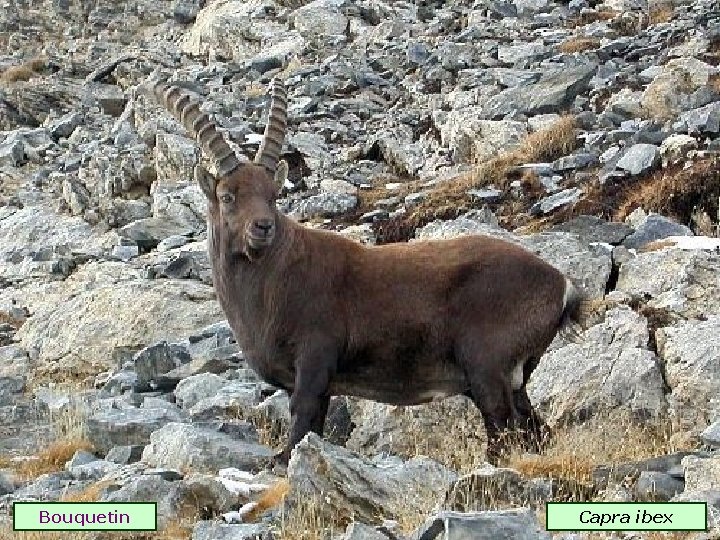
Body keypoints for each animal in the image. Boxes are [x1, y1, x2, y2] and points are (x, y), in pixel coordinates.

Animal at [153, 77, 587, 465]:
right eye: (227, 196)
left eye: (273, 195)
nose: (263, 227)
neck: (273, 278)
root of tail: (561, 284)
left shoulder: (315, 357)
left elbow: (301, 421)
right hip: (516, 376)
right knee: (534, 427)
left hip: (486, 366)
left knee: (503, 426)